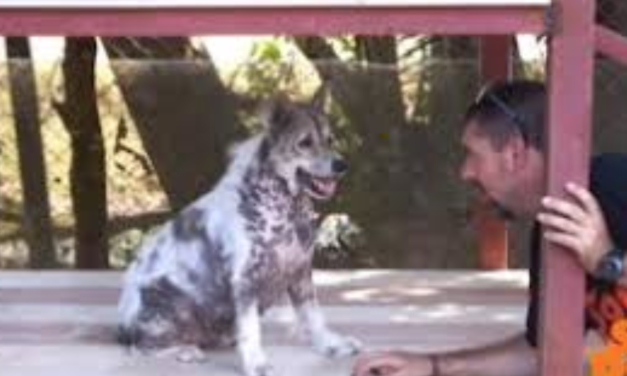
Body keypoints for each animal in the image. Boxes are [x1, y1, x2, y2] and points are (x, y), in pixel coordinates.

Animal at [117, 90, 360, 376]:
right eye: (305, 142)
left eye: (330, 139)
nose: (341, 165)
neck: (286, 210)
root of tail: (122, 327)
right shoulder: (245, 279)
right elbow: (250, 329)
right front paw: (256, 363)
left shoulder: (300, 270)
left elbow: (313, 316)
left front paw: (331, 345)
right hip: (168, 303)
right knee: (140, 347)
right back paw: (187, 351)